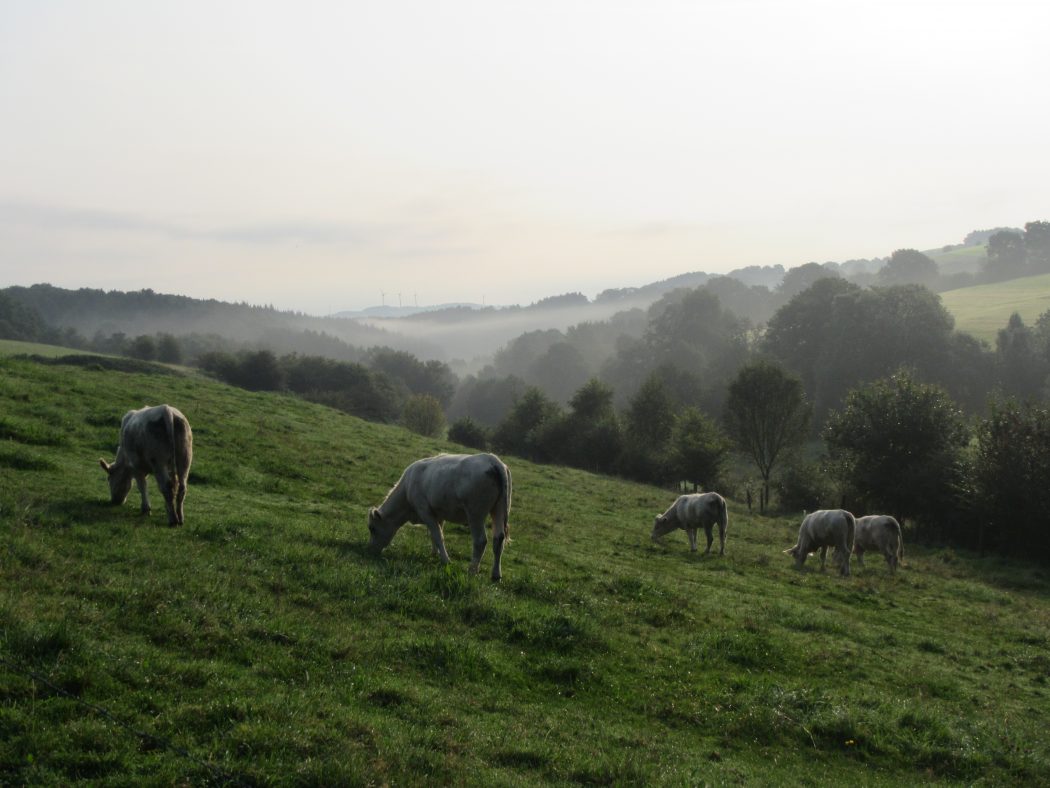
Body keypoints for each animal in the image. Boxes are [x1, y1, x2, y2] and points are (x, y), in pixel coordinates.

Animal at [369, 455, 512, 579]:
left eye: (372, 528)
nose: (371, 550)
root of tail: (492, 460)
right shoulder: (438, 514)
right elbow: (436, 534)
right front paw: (434, 554)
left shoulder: (425, 511)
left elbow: (438, 536)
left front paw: (446, 560)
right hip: (498, 510)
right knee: (498, 539)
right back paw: (496, 575)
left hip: (475, 514)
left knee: (480, 540)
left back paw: (472, 570)